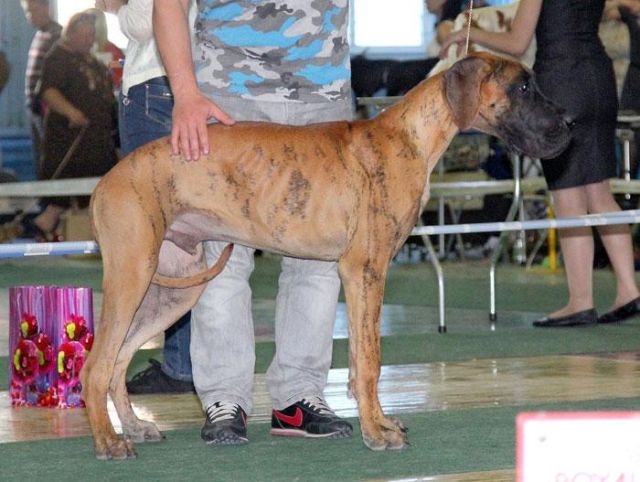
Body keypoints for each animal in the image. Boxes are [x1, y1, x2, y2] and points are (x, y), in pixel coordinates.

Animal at [81, 52, 571, 460]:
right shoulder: (365, 271)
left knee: (119, 360)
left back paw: (133, 427)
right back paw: (109, 442)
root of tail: (106, 180)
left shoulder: (355, 277)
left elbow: (357, 361)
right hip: (132, 276)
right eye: (522, 86)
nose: (569, 121)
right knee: (96, 364)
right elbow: (370, 361)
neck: (409, 136)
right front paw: (377, 434)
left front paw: (380, 422)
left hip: (174, 289)